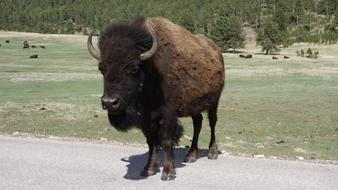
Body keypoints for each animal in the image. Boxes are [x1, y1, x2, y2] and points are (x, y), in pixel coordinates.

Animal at [87, 16, 224, 181]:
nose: (109, 103)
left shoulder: (168, 114)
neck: (151, 69)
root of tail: (217, 52)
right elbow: (151, 142)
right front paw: (148, 169)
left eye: (134, 67)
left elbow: (165, 141)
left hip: (214, 102)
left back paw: (212, 152)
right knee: (198, 123)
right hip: (193, 106)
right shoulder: (145, 118)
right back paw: (191, 155)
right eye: (101, 68)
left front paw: (168, 172)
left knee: (212, 122)